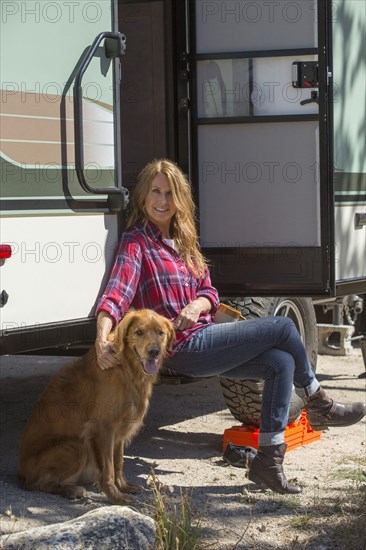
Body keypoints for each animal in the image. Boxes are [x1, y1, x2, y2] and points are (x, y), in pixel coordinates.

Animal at [17, 310, 175, 504]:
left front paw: (124, 487)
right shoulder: (103, 428)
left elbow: (119, 462)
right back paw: (71, 490)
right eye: (139, 332)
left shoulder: (120, 430)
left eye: (161, 333)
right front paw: (116, 497)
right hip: (76, 446)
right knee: (37, 484)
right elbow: (108, 469)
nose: (154, 352)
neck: (126, 369)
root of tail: (21, 475)